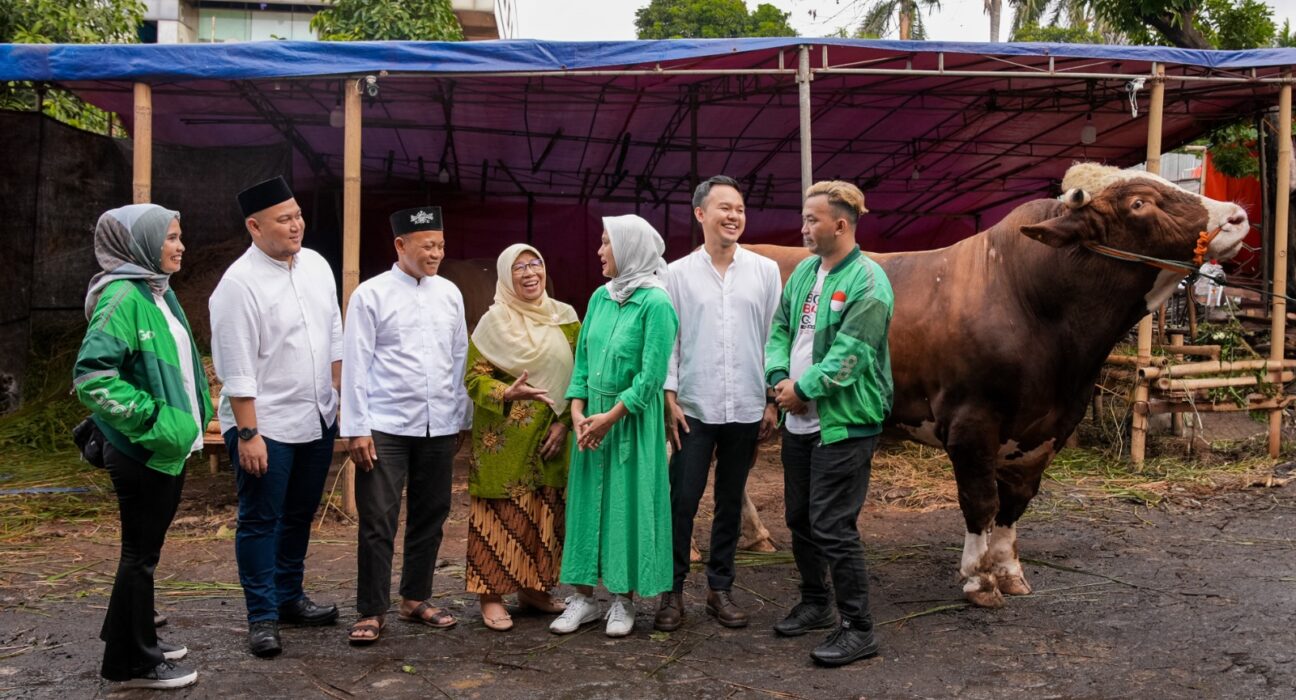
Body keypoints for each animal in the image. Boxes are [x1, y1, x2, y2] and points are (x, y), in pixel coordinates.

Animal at [751, 165, 1254, 606]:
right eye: (1139, 203)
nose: (1237, 216)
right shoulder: (971, 423)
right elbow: (980, 502)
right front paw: (978, 579)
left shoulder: (1047, 428)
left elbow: (1015, 502)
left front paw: (1010, 572)